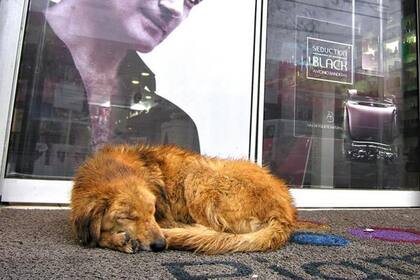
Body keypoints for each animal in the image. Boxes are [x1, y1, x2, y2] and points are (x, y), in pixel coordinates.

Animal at [70, 144, 296, 254]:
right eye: (127, 217)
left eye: (152, 212)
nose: (160, 245)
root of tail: (285, 213)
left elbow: (95, 237)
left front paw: (116, 240)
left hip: (198, 174)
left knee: (217, 232)